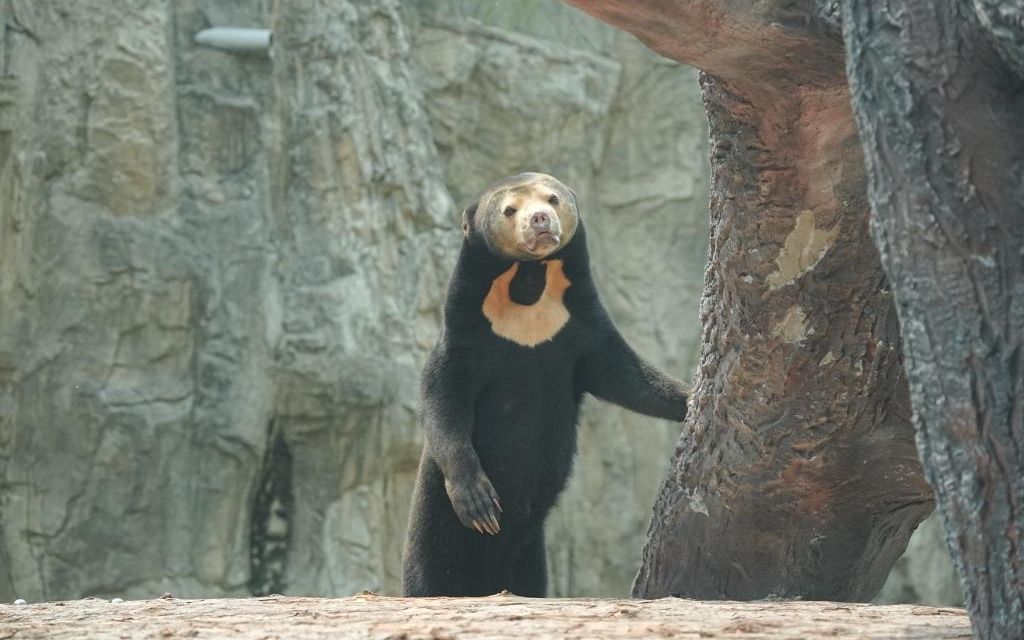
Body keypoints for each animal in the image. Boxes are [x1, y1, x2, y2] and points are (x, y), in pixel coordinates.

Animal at [402, 172, 689, 597]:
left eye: (552, 199)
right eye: (509, 209)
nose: (539, 219)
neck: (528, 284)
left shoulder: (579, 324)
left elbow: (626, 375)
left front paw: (689, 398)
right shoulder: (464, 335)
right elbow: (443, 398)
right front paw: (480, 503)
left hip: (528, 549)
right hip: (433, 522)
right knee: (430, 571)